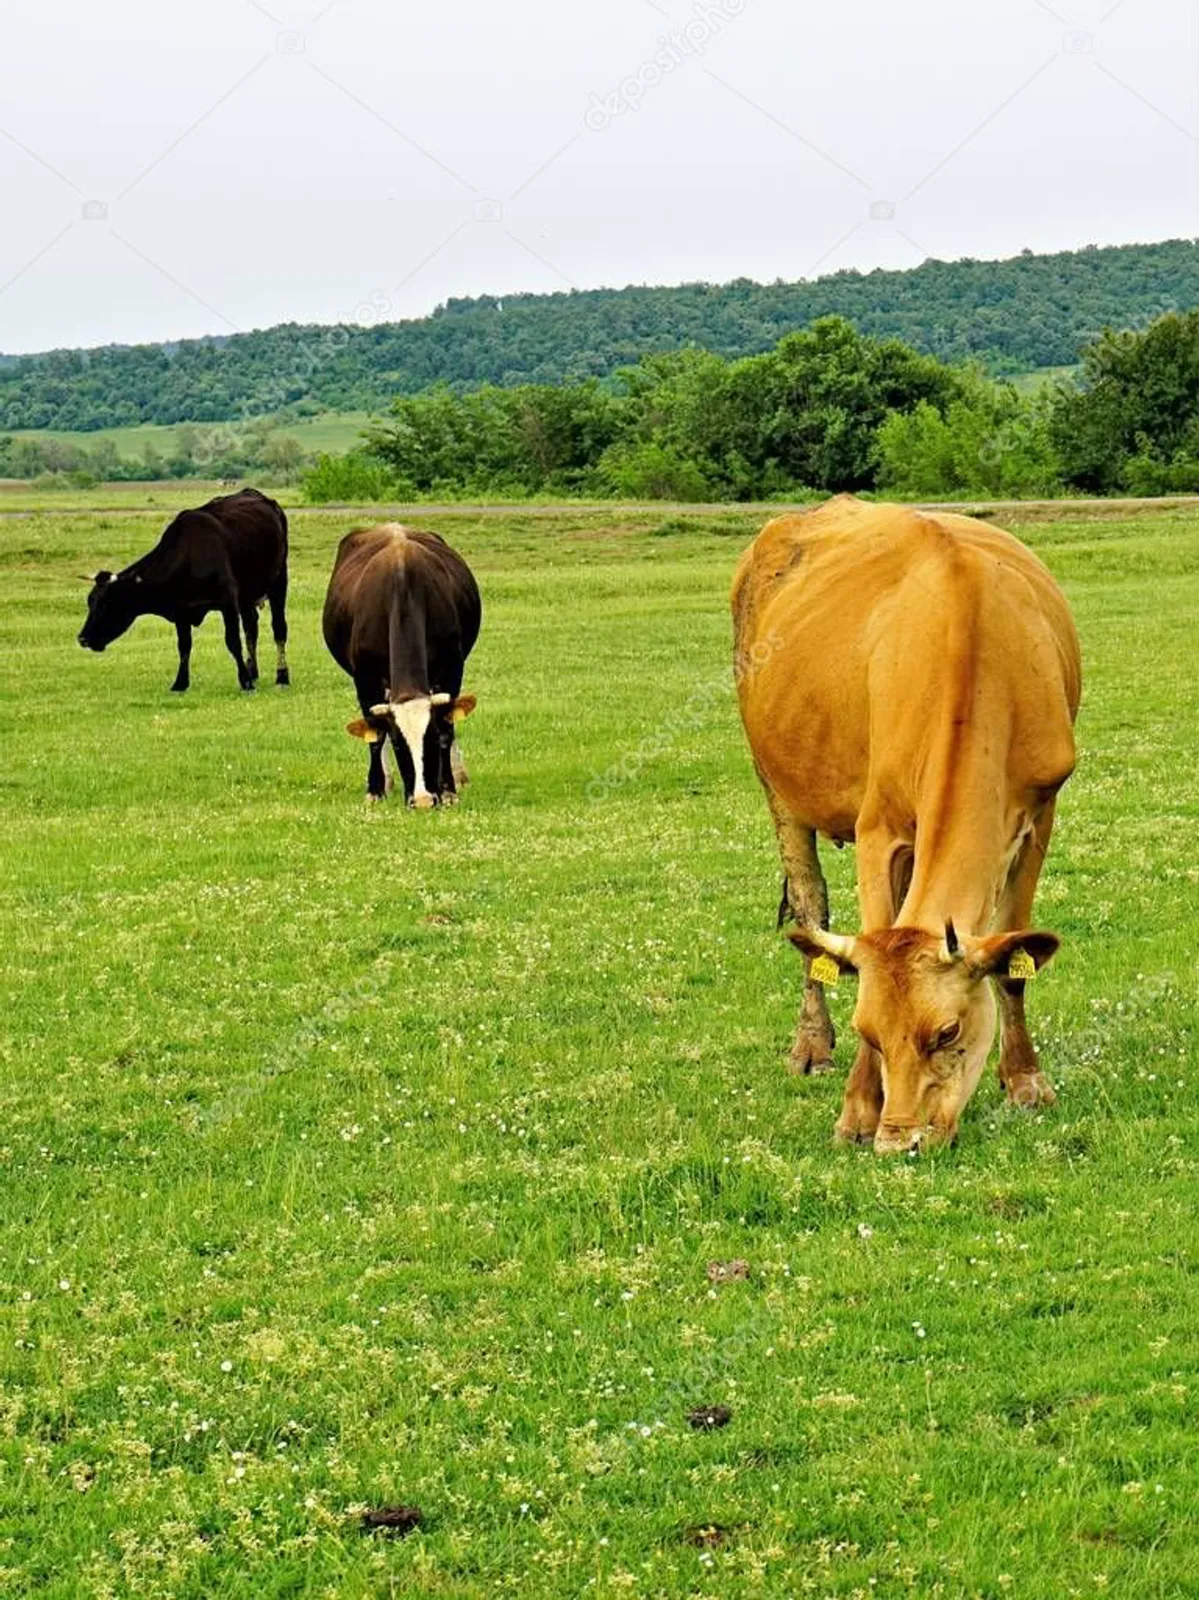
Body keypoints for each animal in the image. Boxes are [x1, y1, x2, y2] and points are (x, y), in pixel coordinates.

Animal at [77, 488, 290, 694]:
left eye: (106, 605)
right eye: (90, 602)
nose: (82, 638)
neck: (187, 558)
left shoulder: (228, 602)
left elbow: (233, 641)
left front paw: (245, 682)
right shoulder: (181, 610)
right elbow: (184, 646)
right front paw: (180, 683)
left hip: (278, 582)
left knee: (279, 630)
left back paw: (282, 677)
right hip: (247, 596)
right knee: (251, 629)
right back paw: (253, 672)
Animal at [322, 524, 480, 806]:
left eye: (431, 737)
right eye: (398, 744)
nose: (423, 800)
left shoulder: (451, 668)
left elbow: (448, 727)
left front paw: (448, 788)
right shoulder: (365, 679)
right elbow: (376, 734)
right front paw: (374, 790)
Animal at [732, 495, 1081, 1155]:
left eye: (947, 1033)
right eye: (867, 1029)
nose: (898, 1140)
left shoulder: (1041, 811)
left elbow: (1013, 968)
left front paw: (1025, 1080)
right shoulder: (880, 827)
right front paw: (856, 1109)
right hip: (775, 779)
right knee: (809, 902)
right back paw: (810, 1044)